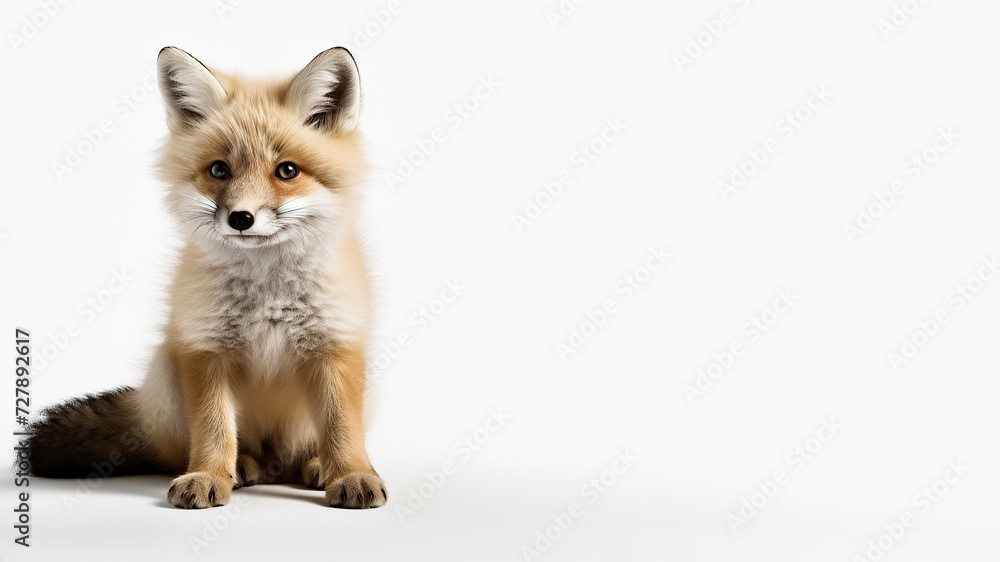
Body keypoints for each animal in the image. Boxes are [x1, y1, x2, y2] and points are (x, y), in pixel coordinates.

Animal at [26, 46, 387, 509]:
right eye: (219, 170)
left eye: (287, 171)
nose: (241, 219)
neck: (267, 298)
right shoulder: (204, 348)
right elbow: (214, 430)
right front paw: (209, 476)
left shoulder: (334, 346)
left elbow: (342, 428)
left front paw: (352, 473)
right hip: (167, 367)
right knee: (196, 449)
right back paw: (241, 468)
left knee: (303, 452)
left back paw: (315, 466)